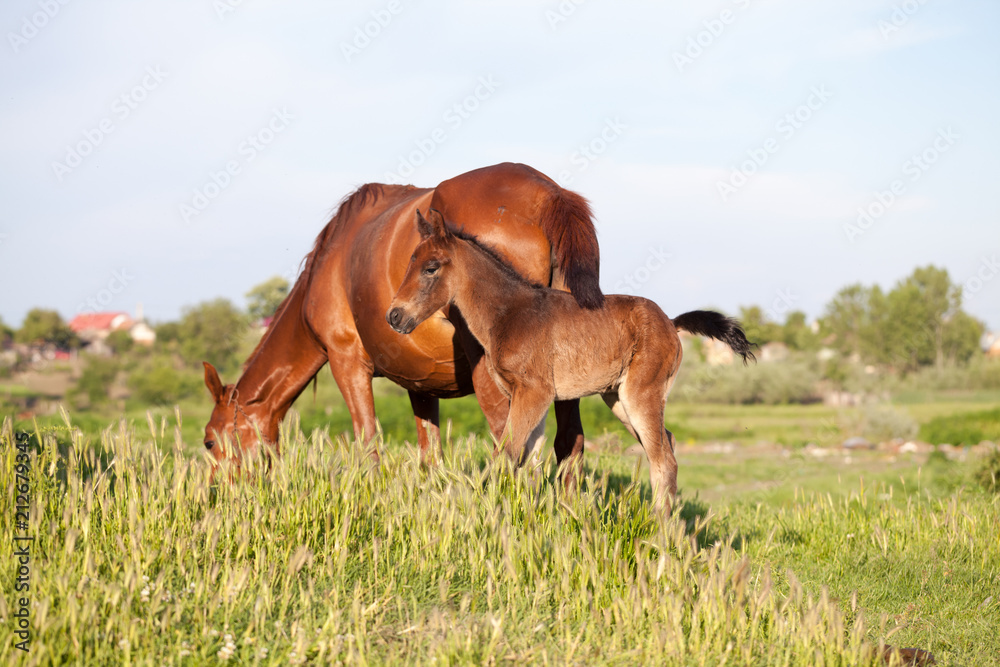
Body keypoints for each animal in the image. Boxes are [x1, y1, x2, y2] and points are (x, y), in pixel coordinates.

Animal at [202, 163, 604, 480]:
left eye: (208, 441)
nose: (214, 493)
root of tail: (548, 194)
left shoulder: (346, 362)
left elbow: (368, 444)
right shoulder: (420, 383)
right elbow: (431, 457)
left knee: (512, 443)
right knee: (568, 445)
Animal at [386, 209, 755, 510]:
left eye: (431, 268)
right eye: (408, 263)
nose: (394, 316)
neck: (508, 314)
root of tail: (671, 322)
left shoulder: (535, 392)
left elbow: (505, 454)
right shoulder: (522, 396)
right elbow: (525, 460)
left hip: (640, 394)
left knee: (664, 459)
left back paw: (660, 536)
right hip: (617, 398)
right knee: (667, 445)